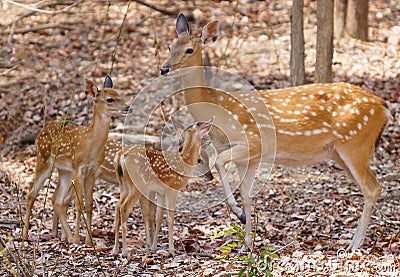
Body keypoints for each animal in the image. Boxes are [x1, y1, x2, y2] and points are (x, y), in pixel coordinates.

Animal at [23, 75, 131, 244]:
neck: (90, 144)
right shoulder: (78, 168)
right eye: (109, 99)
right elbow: (79, 204)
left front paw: (88, 241)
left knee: (57, 200)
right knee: (31, 194)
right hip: (44, 160)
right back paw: (25, 236)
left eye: (119, 95)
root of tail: (40, 133)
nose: (128, 108)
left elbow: (89, 205)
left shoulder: (92, 171)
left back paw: (64, 236)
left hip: (64, 171)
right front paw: (78, 239)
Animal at [112, 117, 212, 256]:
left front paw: (154, 247)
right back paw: (125, 252)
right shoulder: (172, 189)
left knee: (117, 207)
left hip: (123, 184)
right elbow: (170, 218)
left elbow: (158, 216)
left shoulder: (160, 191)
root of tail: (120, 156)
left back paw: (115, 249)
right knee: (124, 208)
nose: (211, 176)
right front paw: (171, 250)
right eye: (200, 160)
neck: (184, 164)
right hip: (137, 184)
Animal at [160, 14, 390, 249]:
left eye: (189, 50)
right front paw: (246, 245)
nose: (164, 69)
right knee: (370, 188)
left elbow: (220, 162)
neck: (217, 109)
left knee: (373, 188)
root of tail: (383, 107)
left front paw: (239, 215)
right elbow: (247, 195)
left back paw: (354, 245)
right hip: (339, 152)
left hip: (355, 144)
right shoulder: (249, 158)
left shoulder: (253, 142)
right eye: (169, 46)